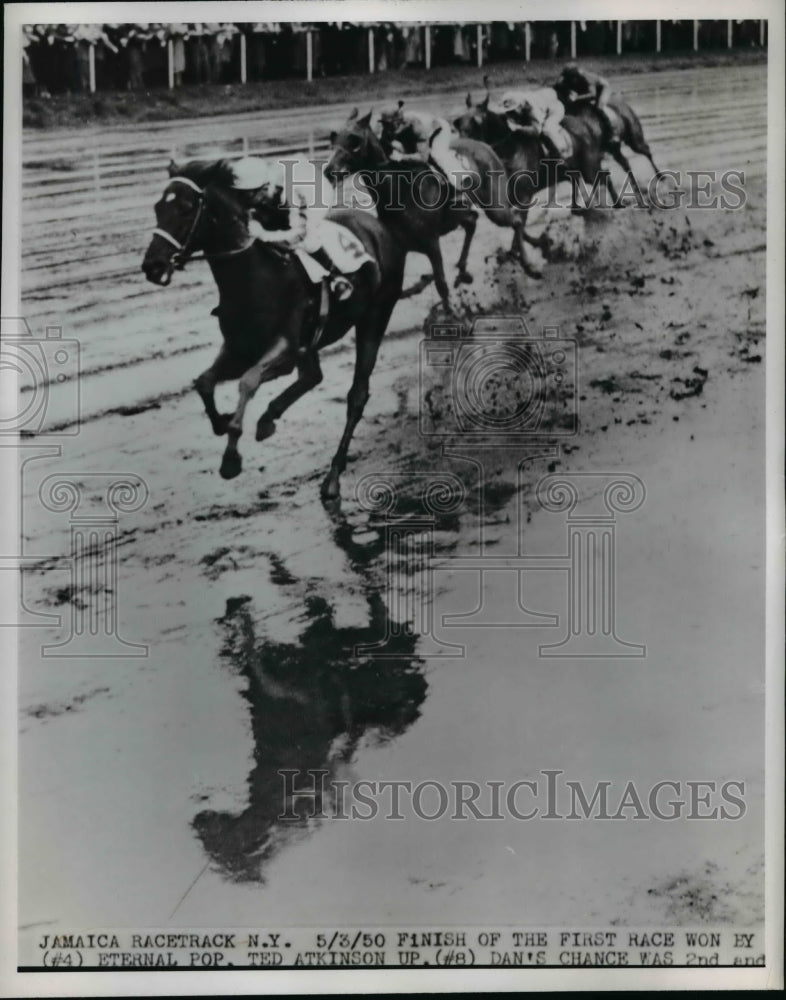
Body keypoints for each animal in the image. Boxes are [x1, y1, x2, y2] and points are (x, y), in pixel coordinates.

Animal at [142, 161, 408, 504]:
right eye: (158, 207)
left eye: (186, 208)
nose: (152, 265)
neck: (254, 278)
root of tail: (380, 227)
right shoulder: (239, 347)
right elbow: (203, 382)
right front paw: (222, 422)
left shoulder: (285, 350)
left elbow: (248, 381)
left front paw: (231, 458)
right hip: (313, 341)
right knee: (313, 376)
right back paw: (269, 418)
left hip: (374, 318)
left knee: (357, 396)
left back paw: (332, 478)